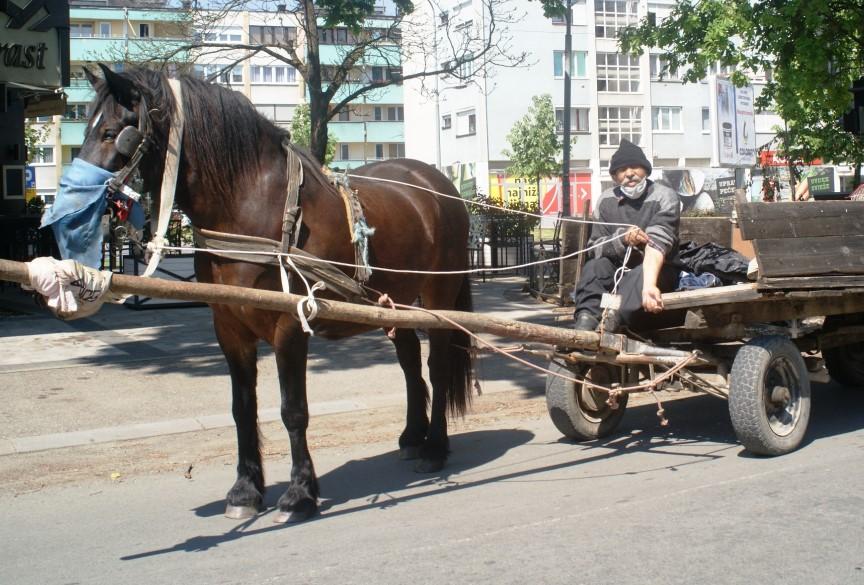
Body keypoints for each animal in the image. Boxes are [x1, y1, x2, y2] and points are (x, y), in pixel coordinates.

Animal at [77, 66, 472, 524]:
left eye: (111, 132)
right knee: (410, 364)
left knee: (437, 367)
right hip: (393, 302)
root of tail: (439, 184)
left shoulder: (290, 325)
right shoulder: (229, 328)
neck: (250, 204)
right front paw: (245, 491)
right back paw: (412, 435)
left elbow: (292, 410)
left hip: (439, 295)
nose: (79, 205)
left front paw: (300, 493)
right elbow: (242, 409)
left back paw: (434, 446)